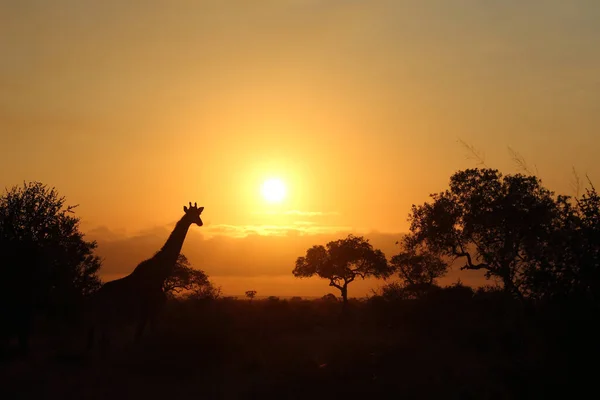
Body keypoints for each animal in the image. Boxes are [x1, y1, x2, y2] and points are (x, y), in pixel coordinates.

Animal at [86, 202, 204, 352]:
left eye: (199, 213)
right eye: (191, 214)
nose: (200, 222)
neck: (160, 275)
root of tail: (95, 298)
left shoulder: (147, 313)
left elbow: (139, 337)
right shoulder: (153, 309)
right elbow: (148, 336)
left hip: (103, 319)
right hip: (108, 317)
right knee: (103, 342)